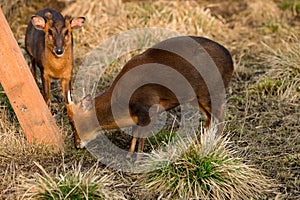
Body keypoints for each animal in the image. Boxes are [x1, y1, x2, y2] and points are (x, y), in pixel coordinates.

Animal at [66, 36, 234, 155]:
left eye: (73, 122)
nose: (76, 145)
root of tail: (230, 59)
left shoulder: (149, 108)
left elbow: (141, 137)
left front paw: (138, 160)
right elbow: (134, 134)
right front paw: (128, 155)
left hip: (211, 91)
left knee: (221, 116)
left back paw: (214, 143)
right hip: (196, 98)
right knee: (210, 117)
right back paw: (202, 140)